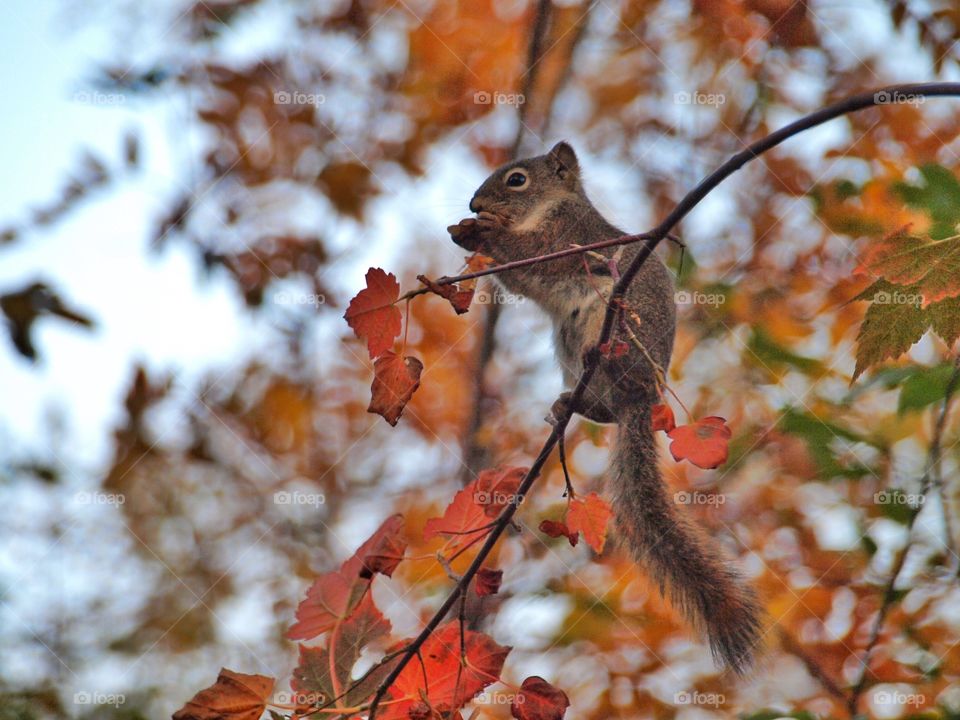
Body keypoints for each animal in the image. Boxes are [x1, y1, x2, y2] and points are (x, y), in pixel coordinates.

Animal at [448, 141, 763, 675]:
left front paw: (481, 233)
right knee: (604, 409)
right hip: (569, 345)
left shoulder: (567, 238)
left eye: (516, 180)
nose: (474, 204)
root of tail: (643, 397)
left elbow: (529, 257)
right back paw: (566, 406)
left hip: (612, 324)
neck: (549, 207)